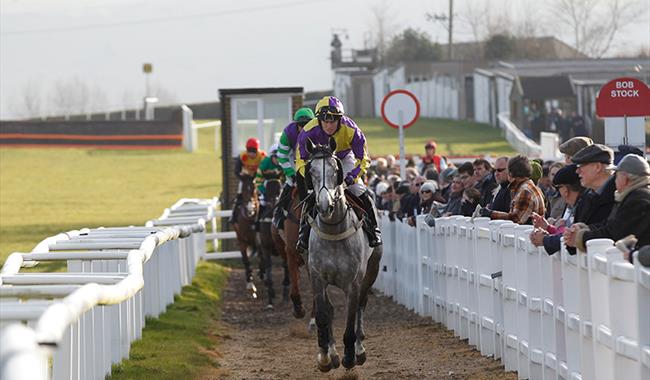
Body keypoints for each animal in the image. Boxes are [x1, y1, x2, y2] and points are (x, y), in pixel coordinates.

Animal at [302, 139, 380, 372]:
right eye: (311, 170)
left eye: (336, 170)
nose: (324, 205)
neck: (334, 231)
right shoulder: (317, 277)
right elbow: (323, 315)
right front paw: (325, 357)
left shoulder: (353, 283)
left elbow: (351, 318)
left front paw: (350, 356)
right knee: (329, 309)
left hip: (372, 270)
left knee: (362, 305)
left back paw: (359, 349)